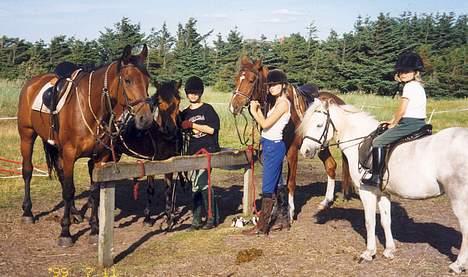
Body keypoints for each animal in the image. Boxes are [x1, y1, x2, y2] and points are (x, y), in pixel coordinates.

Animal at [18, 45, 153, 246]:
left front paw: (95, 229)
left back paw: (75, 213)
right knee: (28, 171)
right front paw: (65, 233)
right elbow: (69, 190)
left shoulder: (100, 158)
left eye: (147, 81)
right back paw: (28, 212)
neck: (93, 110)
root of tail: (32, 83)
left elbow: (94, 191)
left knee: (61, 176)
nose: (146, 119)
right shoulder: (69, 154)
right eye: (128, 80)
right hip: (27, 136)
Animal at [229, 55, 350, 222]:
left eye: (252, 80)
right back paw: (326, 202)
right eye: (236, 78)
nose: (234, 106)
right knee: (331, 166)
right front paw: (274, 210)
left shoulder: (292, 150)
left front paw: (291, 212)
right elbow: (276, 182)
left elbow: (290, 182)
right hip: (320, 146)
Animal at [298, 98, 468, 272]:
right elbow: (386, 221)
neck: (360, 142)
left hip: (459, 200)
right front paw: (389, 250)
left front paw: (369, 252)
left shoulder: (367, 192)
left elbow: (370, 221)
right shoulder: (383, 193)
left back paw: (458, 265)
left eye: (319, 125)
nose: (305, 151)